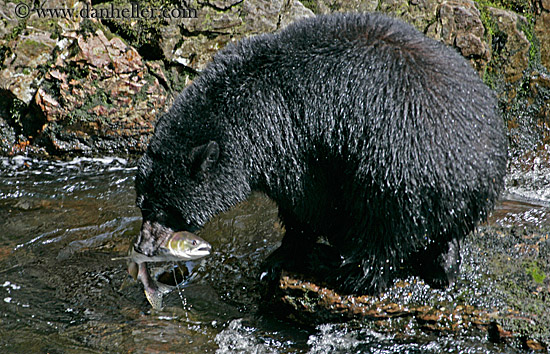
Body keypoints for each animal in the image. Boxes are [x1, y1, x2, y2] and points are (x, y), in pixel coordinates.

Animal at [133, 12, 508, 294]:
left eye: (162, 208)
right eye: (141, 201)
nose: (142, 248)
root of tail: (473, 171)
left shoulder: (293, 139)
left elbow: (308, 204)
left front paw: (281, 257)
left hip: (394, 171)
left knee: (383, 231)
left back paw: (353, 274)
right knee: (439, 233)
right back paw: (443, 264)